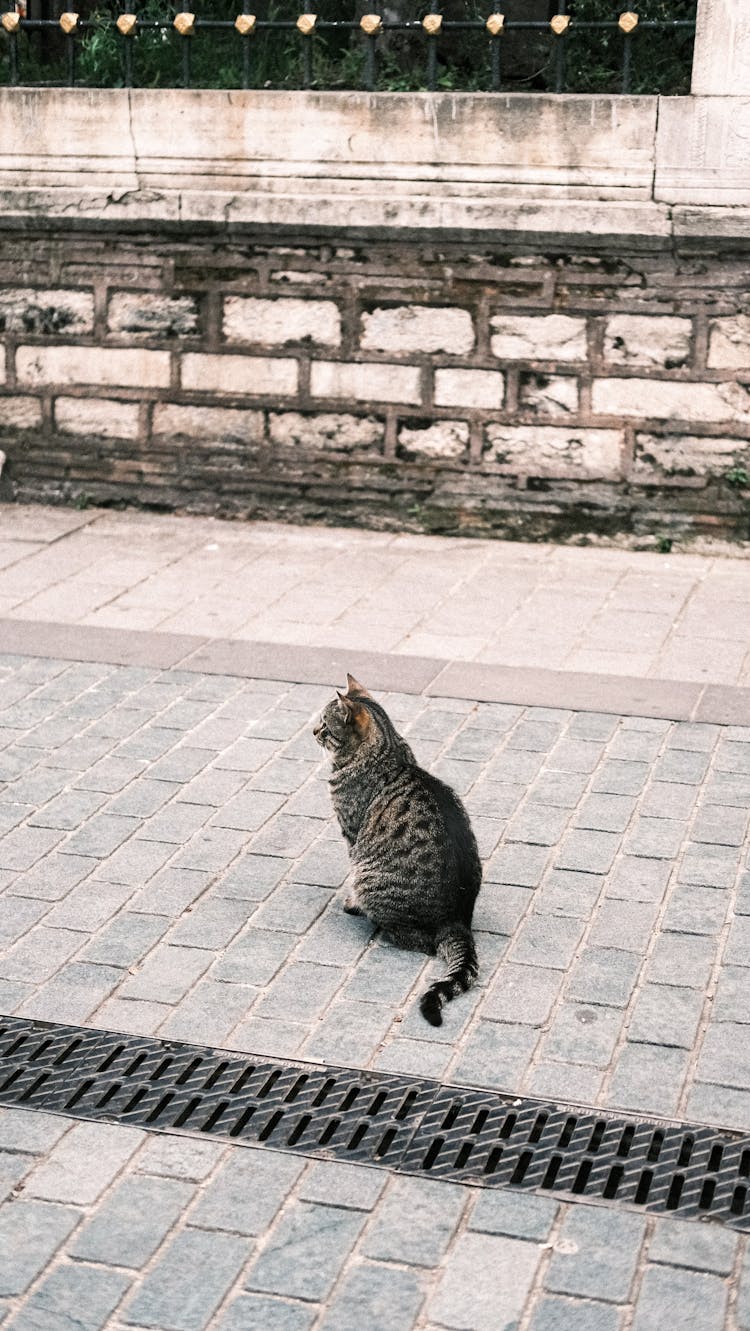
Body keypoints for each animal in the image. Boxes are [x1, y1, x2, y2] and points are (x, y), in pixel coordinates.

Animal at [315, 676, 482, 1027]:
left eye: (324, 725)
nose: (312, 731)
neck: (389, 750)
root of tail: (456, 920)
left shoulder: (352, 835)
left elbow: (350, 870)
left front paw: (351, 902)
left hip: (371, 876)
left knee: (419, 941)